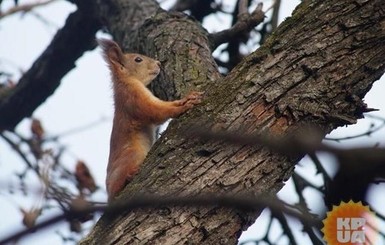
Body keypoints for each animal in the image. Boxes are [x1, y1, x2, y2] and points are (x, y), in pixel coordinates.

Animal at [97, 39, 202, 201]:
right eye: (138, 60)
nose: (159, 63)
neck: (126, 81)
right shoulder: (134, 98)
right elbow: (156, 111)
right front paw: (183, 107)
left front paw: (185, 99)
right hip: (132, 154)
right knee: (117, 187)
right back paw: (129, 176)